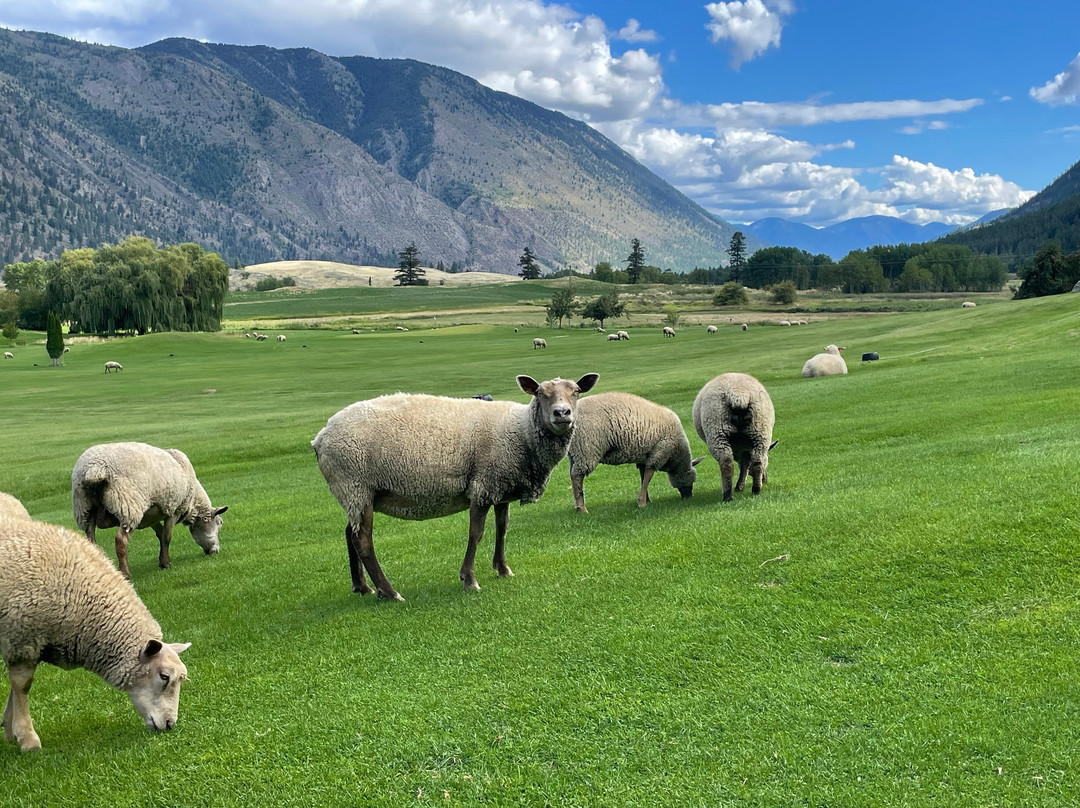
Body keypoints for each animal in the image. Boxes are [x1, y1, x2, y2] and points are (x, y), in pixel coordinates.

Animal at [0, 514, 191, 751]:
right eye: (164, 677)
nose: (170, 724)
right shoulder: (22, 637)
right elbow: (22, 685)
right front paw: (27, 737)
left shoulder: (22, 642)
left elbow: (15, 687)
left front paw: (9, 729)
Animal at [72, 442, 228, 580]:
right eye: (219, 523)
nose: (215, 551)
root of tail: (94, 469)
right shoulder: (173, 511)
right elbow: (166, 537)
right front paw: (166, 563)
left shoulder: (150, 515)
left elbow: (160, 534)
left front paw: (161, 560)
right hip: (129, 506)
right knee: (121, 540)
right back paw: (125, 573)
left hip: (84, 509)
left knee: (91, 543)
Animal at [312, 373, 599, 600]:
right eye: (540, 393)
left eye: (576, 391)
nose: (562, 413)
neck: (521, 432)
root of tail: (320, 437)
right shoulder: (482, 487)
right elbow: (476, 533)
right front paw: (469, 579)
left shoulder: (501, 487)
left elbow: (503, 529)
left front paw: (502, 568)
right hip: (355, 484)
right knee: (363, 540)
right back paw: (389, 592)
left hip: (356, 494)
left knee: (350, 533)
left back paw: (362, 586)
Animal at [567, 392, 702, 513]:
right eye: (692, 479)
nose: (688, 497)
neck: (676, 455)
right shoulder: (659, 452)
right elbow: (648, 477)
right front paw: (642, 502)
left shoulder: (645, 457)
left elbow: (643, 477)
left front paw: (647, 500)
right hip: (586, 449)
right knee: (577, 476)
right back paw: (582, 508)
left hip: (575, 452)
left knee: (572, 475)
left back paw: (577, 507)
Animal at [693, 373, 777, 502]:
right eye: (768, 459)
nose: (765, 480)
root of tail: (739, 394)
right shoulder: (746, 448)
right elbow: (745, 465)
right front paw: (741, 485)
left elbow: (744, 465)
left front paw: (738, 486)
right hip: (760, 430)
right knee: (757, 461)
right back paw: (756, 490)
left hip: (717, 432)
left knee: (726, 462)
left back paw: (727, 495)